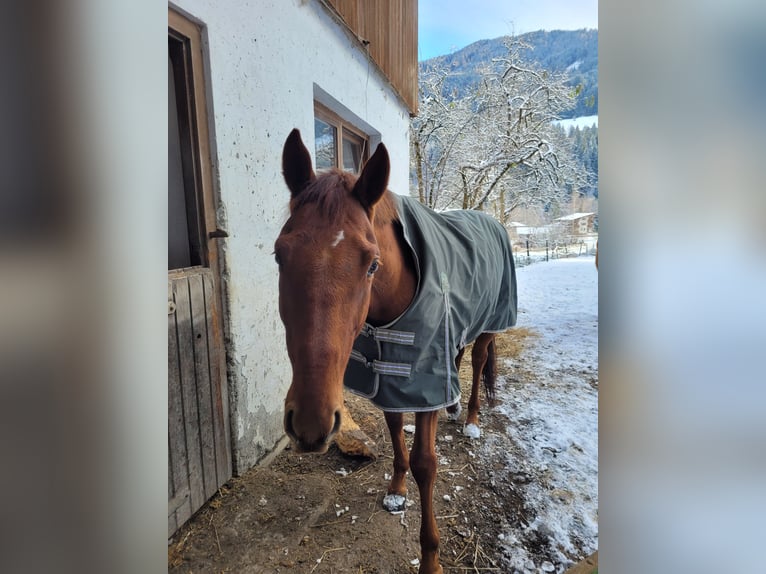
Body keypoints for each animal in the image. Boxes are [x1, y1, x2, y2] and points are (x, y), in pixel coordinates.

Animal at [272, 130, 520, 574]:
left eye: (372, 264)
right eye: (279, 255)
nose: (311, 424)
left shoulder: (422, 383)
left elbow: (426, 463)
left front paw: (431, 559)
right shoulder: (388, 375)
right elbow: (393, 434)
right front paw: (396, 490)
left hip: (490, 323)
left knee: (477, 362)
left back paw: (472, 418)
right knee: (458, 359)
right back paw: (454, 407)